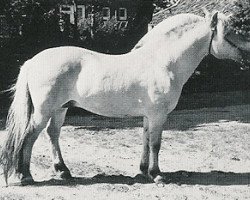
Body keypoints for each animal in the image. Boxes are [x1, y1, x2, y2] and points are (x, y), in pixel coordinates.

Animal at [0, 11, 250, 185]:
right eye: (228, 33)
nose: (247, 55)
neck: (163, 62)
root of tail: (33, 61)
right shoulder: (158, 115)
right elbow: (156, 144)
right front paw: (157, 175)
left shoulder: (149, 116)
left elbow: (146, 140)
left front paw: (142, 172)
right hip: (43, 112)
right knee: (29, 137)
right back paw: (25, 176)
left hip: (61, 108)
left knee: (53, 134)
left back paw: (63, 171)